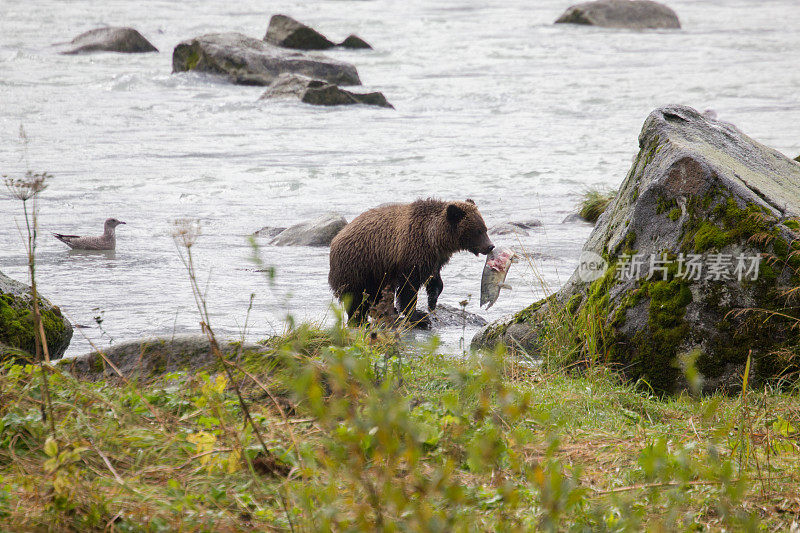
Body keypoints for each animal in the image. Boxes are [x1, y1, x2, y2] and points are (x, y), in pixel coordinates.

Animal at [326, 198, 494, 324]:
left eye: (485, 228)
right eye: (478, 231)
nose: (490, 246)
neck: (435, 238)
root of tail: (336, 239)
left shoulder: (434, 259)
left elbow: (435, 280)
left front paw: (432, 300)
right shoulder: (412, 254)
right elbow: (408, 287)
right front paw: (418, 316)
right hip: (358, 266)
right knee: (355, 297)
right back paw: (360, 319)